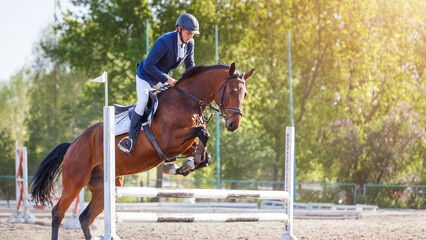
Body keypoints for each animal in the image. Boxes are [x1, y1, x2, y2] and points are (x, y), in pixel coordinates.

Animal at [31, 62, 255, 240]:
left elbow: (203, 149)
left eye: (244, 94)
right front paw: (185, 164)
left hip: (105, 187)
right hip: (75, 181)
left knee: (86, 218)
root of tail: (73, 144)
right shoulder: (168, 140)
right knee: (57, 213)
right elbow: (203, 132)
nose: (233, 124)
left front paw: (188, 164)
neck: (186, 101)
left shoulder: (183, 143)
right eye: (232, 92)